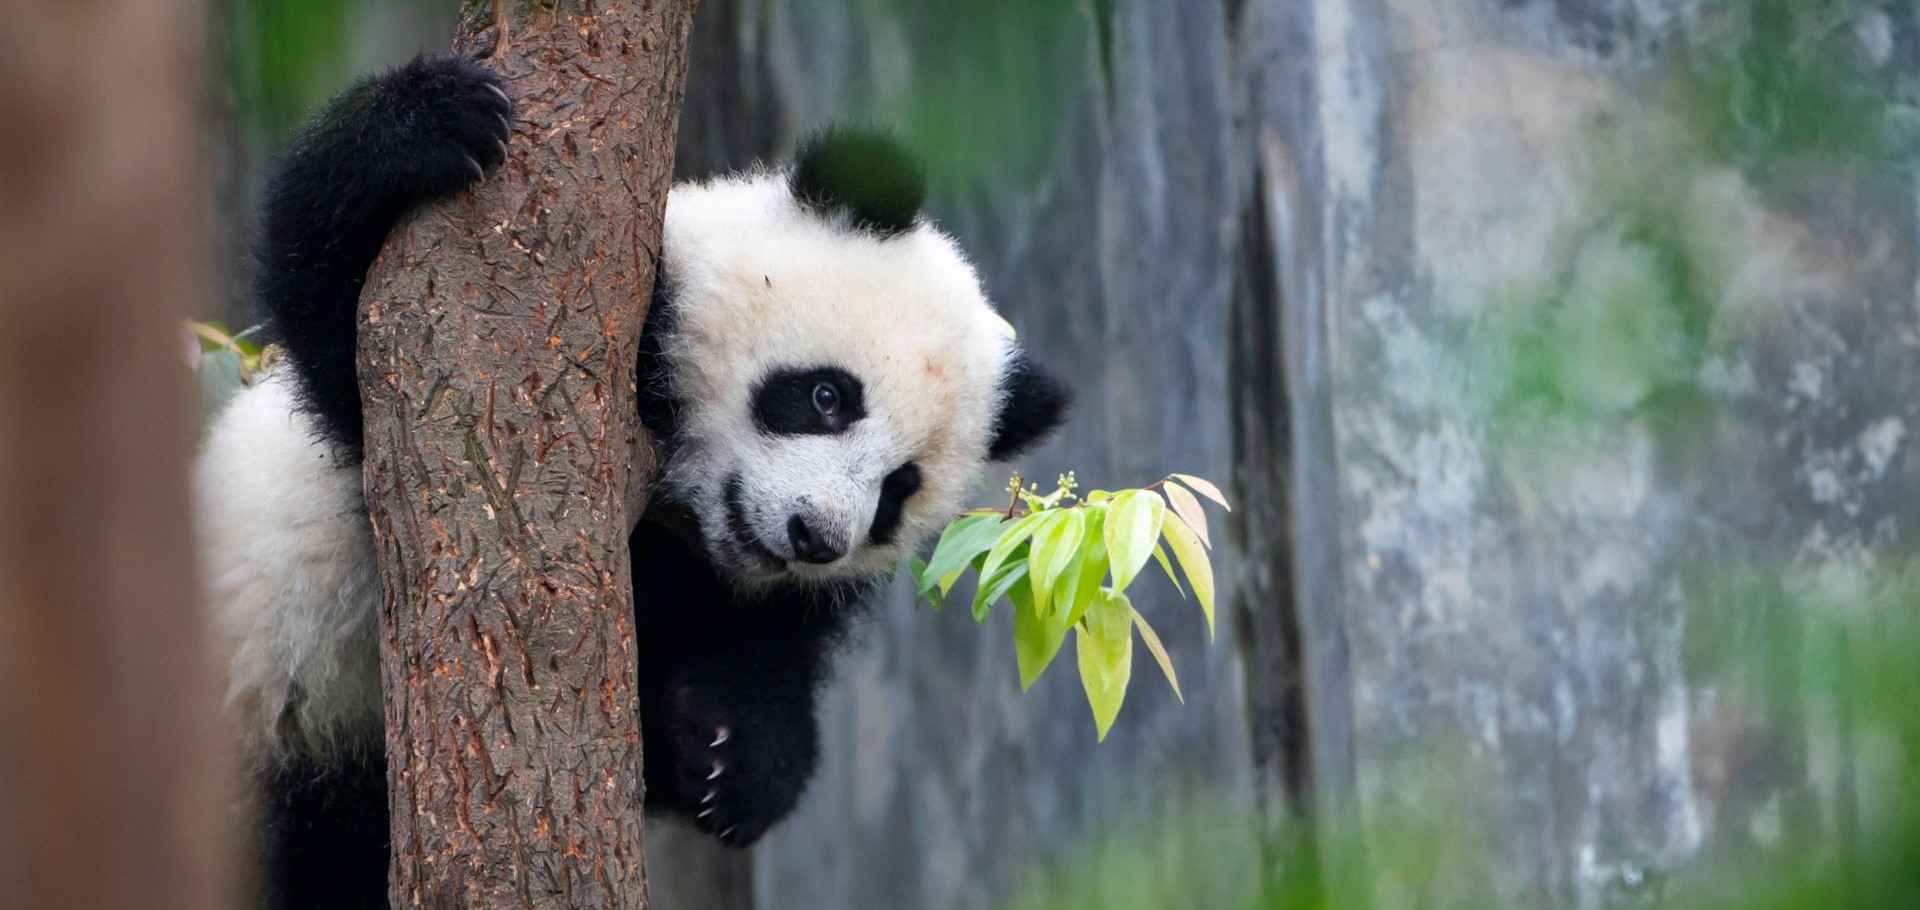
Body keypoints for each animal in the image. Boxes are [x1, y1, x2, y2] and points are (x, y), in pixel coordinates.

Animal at [194, 55, 1071, 909]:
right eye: (828, 396)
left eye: (898, 490)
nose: (815, 536)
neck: (678, 515)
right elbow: (349, 324)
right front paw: (429, 123)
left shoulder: (740, 593)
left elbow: (755, 653)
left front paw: (737, 758)